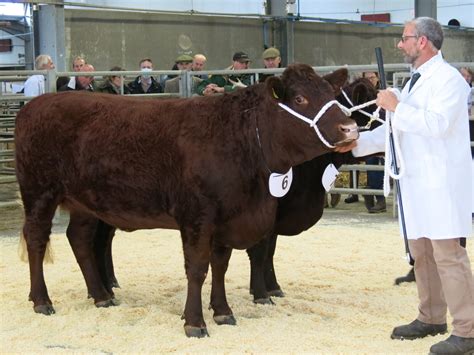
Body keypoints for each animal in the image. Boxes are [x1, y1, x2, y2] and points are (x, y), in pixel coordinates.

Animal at [14, 64, 358, 340]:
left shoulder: (229, 216)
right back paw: (42, 300)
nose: (350, 128)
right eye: (300, 99)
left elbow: (220, 266)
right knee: (37, 239)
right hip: (39, 192)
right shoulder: (197, 215)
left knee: (80, 239)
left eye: (331, 94)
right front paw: (195, 322)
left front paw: (222, 311)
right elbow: (197, 268)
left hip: (84, 202)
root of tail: (35, 105)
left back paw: (101, 295)